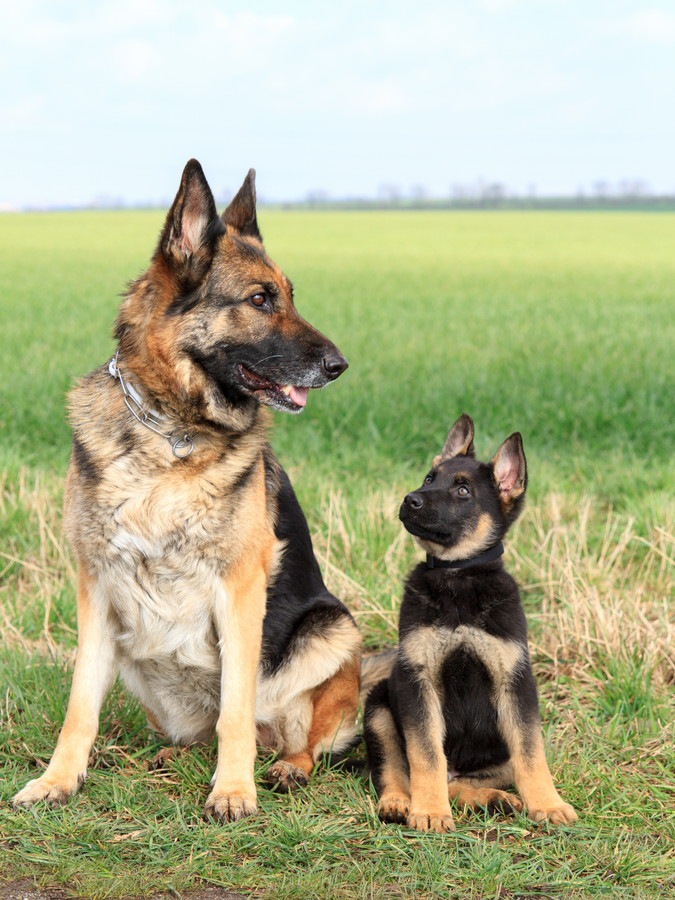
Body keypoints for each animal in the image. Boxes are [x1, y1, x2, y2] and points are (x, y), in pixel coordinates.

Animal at [13, 158, 362, 820]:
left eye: (290, 297)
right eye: (260, 299)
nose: (340, 366)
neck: (170, 435)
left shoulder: (240, 588)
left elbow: (235, 710)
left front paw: (234, 791)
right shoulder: (96, 586)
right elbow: (79, 706)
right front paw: (57, 780)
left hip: (334, 631)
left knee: (294, 734)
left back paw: (285, 768)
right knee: (198, 732)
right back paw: (170, 757)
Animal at [364, 418, 576, 832]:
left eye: (462, 490)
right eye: (429, 478)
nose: (410, 499)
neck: (458, 576)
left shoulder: (515, 681)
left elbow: (531, 754)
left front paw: (548, 804)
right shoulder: (418, 679)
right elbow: (426, 756)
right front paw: (430, 812)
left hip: (496, 753)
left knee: (467, 779)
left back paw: (495, 799)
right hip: (379, 710)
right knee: (398, 770)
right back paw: (400, 802)